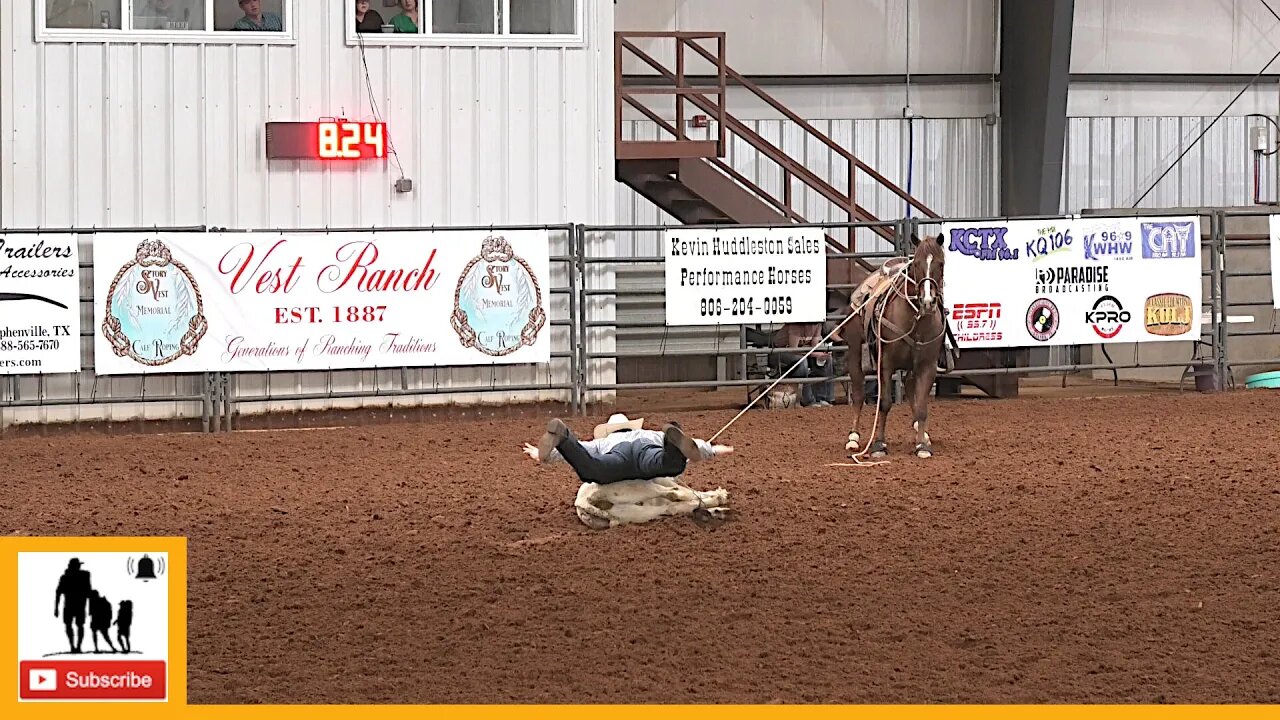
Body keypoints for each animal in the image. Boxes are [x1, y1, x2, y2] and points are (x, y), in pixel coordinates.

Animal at [839, 234, 952, 458]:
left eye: (941, 263)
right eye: (916, 264)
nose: (928, 301)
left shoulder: (927, 366)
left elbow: (922, 406)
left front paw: (922, 445)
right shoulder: (886, 364)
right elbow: (884, 403)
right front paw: (879, 445)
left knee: (909, 387)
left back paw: (921, 432)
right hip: (855, 352)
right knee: (858, 393)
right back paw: (853, 438)